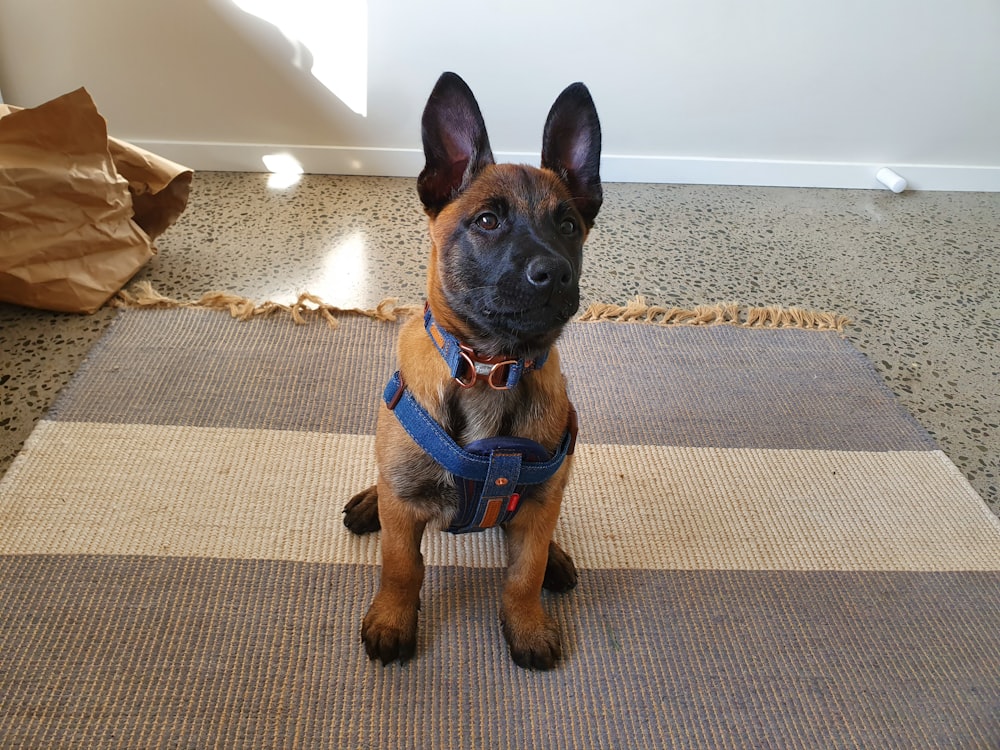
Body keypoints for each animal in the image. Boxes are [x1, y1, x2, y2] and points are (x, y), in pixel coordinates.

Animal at [342, 72, 600, 668]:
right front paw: (392, 618)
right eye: (487, 221)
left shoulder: (538, 504)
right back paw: (369, 503)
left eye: (568, 225)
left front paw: (526, 624)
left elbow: (523, 572)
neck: (490, 365)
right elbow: (401, 566)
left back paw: (556, 558)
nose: (553, 273)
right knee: (386, 490)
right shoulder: (404, 513)